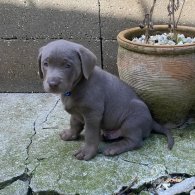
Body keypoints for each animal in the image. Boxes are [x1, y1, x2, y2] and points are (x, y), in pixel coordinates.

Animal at [38, 39, 174, 160]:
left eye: (68, 65)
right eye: (45, 63)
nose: (53, 83)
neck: (76, 86)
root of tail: (151, 121)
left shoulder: (93, 115)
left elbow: (90, 135)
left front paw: (87, 152)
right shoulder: (76, 113)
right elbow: (74, 123)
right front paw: (70, 134)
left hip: (133, 120)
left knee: (135, 141)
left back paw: (114, 148)